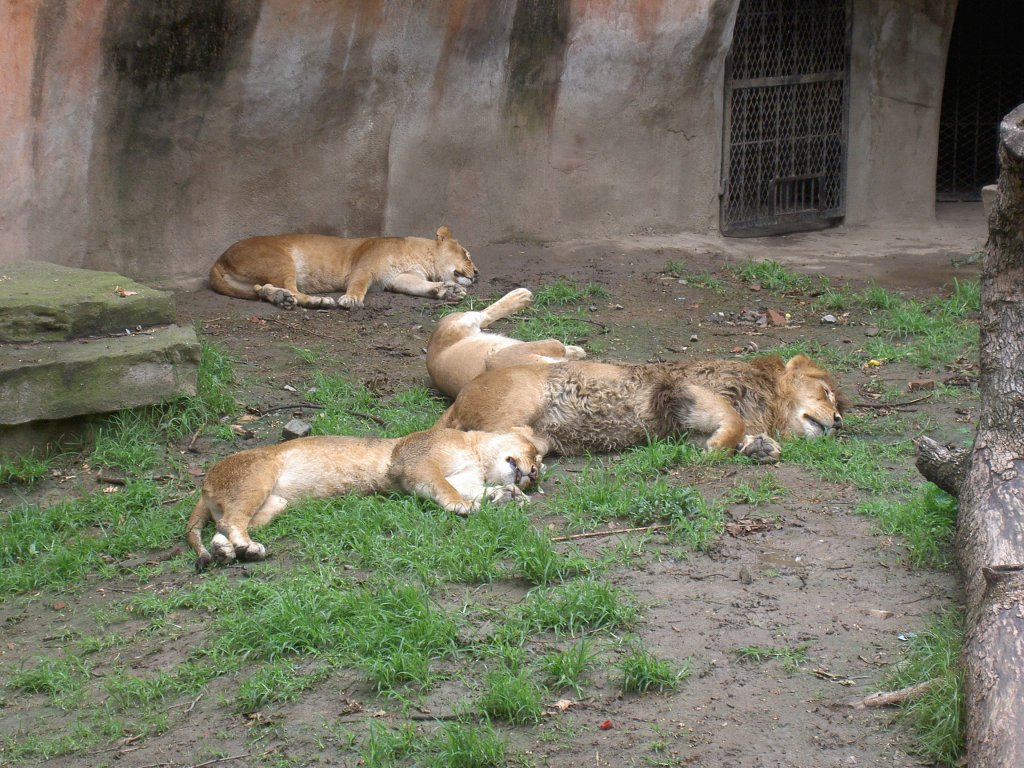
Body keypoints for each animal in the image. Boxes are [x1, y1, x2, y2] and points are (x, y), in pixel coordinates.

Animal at [188, 428, 548, 573]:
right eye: (535, 453)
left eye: (538, 467)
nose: (532, 474)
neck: (478, 457)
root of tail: (205, 482)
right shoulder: (413, 462)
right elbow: (443, 487)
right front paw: (463, 506)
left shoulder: (462, 479)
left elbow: (475, 490)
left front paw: (509, 496)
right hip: (259, 475)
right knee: (231, 521)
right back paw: (247, 548)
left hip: (274, 505)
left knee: (222, 527)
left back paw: (230, 552)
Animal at [210, 224, 479, 309]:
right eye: (467, 254)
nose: (477, 273)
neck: (421, 256)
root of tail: (218, 259)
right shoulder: (364, 266)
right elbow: (358, 283)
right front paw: (351, 299)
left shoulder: (399, 277)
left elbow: (420, 287)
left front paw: (447, 290)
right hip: (280, 259)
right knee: (293, 289)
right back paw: (317, 301)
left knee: (262, 288)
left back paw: (281, 298)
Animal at [423, 286, 585, 397]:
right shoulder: (496, 358)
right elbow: (556, 343)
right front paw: (574, 352)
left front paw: (575, 352)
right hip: (459, 323)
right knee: (483, 314)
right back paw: (520, 295)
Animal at [440, 356, 847, 462]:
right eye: (827, 393)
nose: (839, 422)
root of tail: (459, 400)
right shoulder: (684, 390)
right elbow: (731, 421)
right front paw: (719, 449)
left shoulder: (682, 424)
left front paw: (760, 447)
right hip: (516, 408)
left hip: (540, 439)